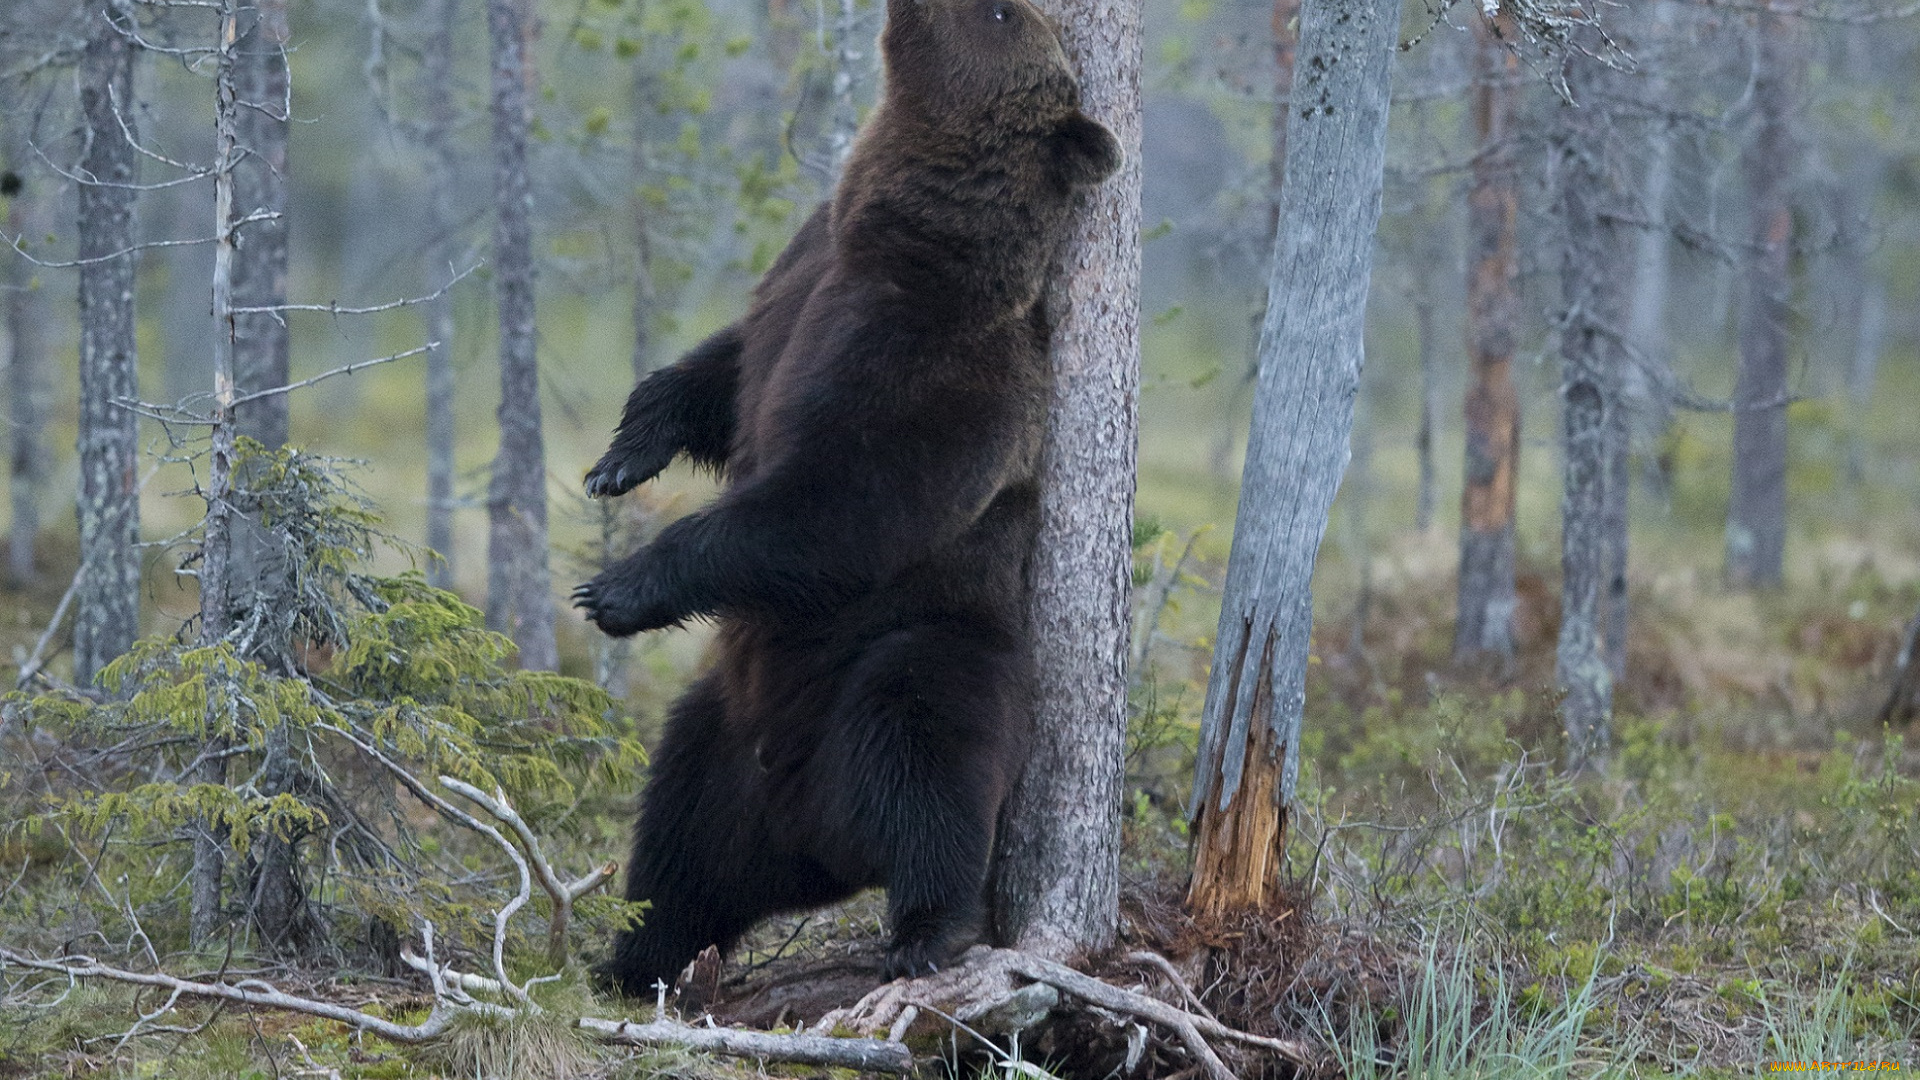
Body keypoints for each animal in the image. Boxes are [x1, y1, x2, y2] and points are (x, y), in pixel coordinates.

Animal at [576, 0, 1121, 991]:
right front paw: (621, 459)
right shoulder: (797, 285)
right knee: (676, 838)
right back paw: (634, 957)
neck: (897, 235)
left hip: (919, 653)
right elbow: (717, 377)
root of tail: (811, 837)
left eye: (1000, 12)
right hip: (722, 738)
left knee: (924, 752)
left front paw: (620, 586)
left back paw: (927, 929)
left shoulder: (940, 368)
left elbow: (841, 506)